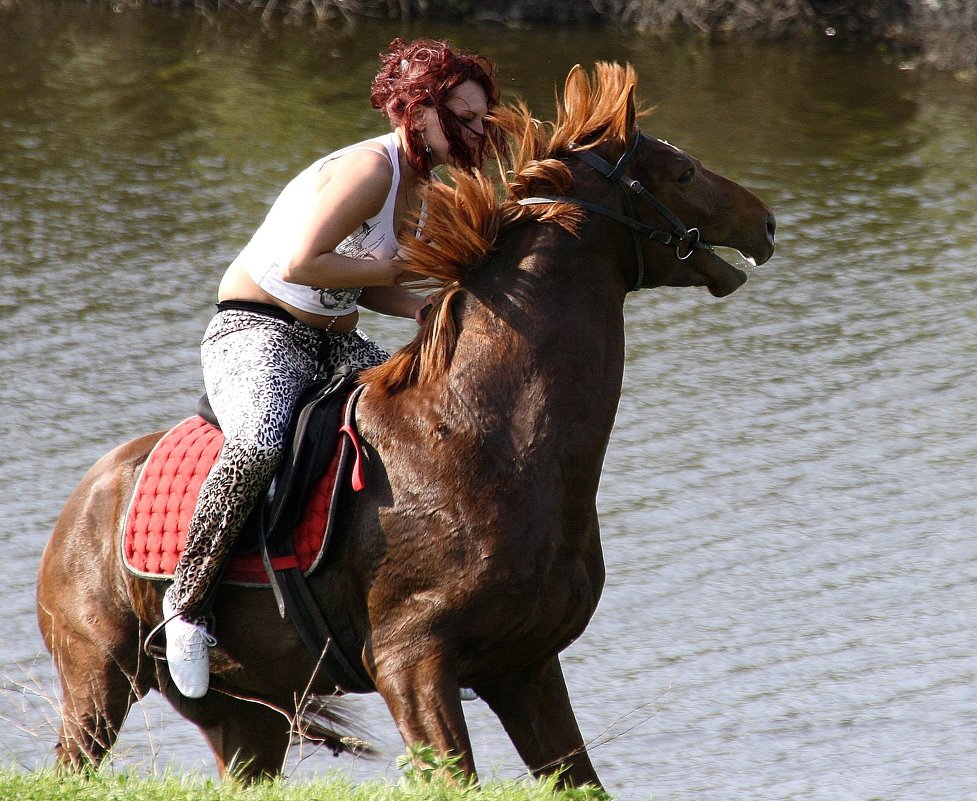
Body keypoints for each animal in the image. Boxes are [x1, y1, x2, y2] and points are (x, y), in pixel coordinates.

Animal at [36, 64, 772, 788]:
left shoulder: (525, 666)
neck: (483, 441)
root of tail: (81, 500)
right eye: (682, 173)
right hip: (99, 676)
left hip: (246, 715)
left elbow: (580, 777)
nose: (765, 223)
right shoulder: (410, 664)